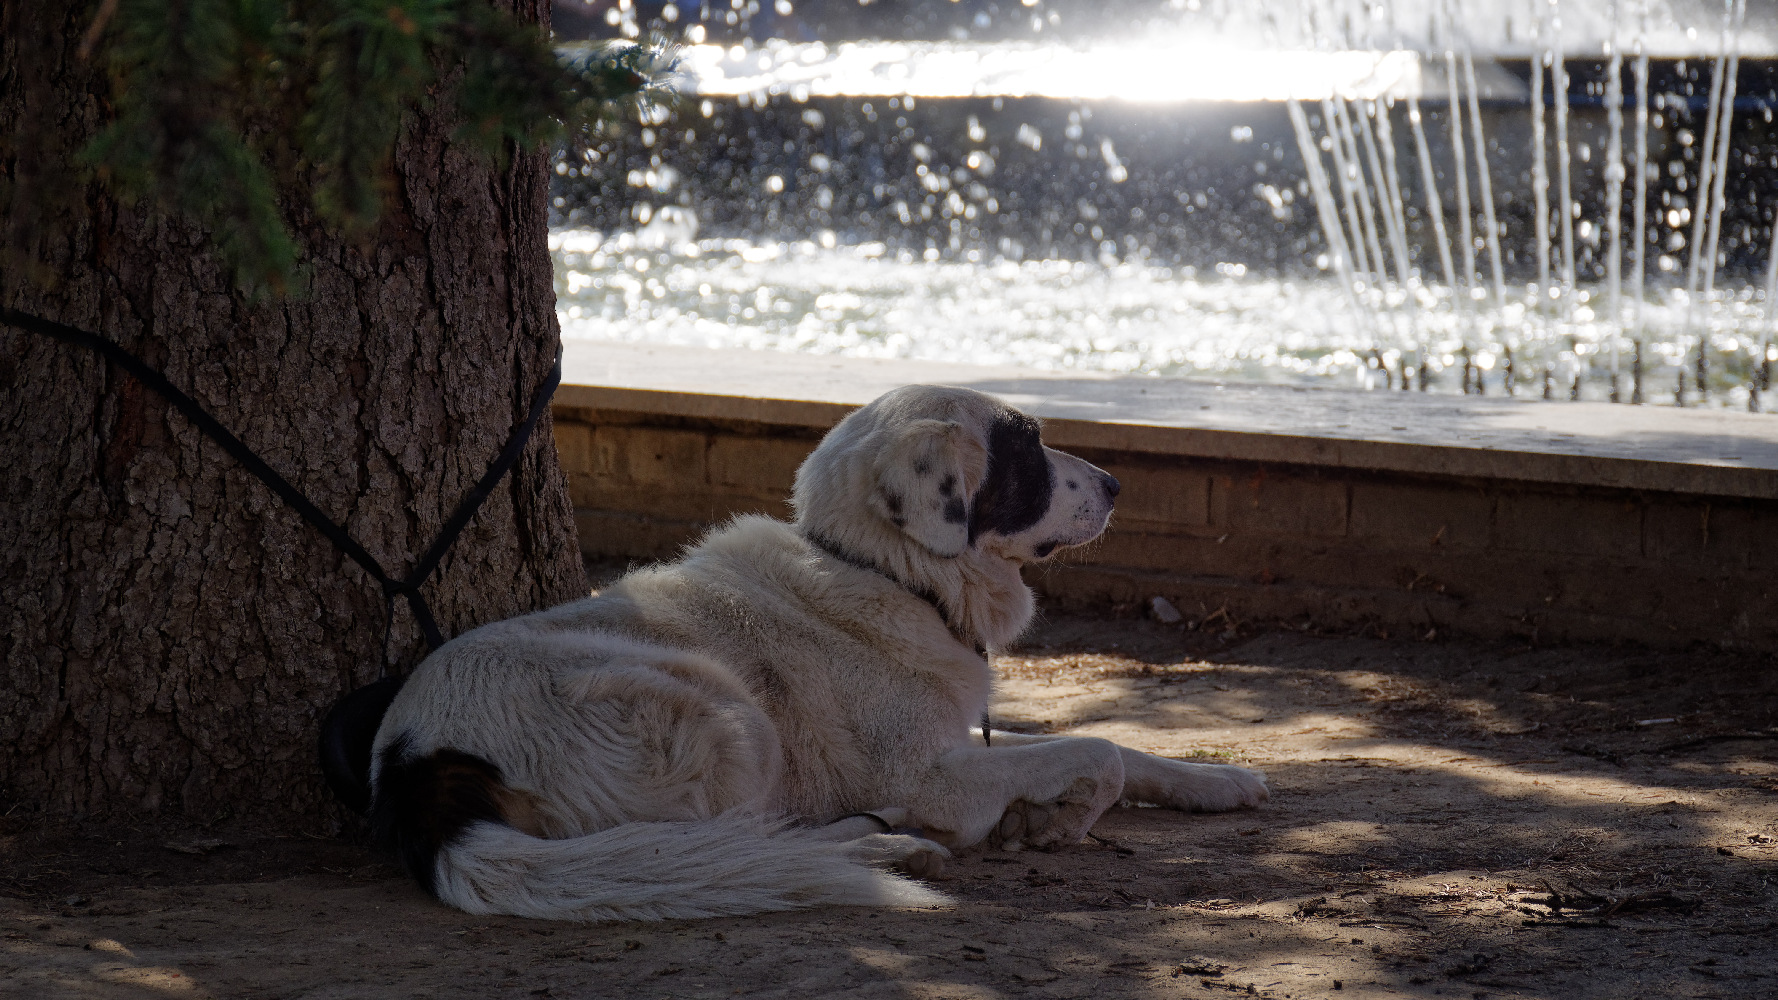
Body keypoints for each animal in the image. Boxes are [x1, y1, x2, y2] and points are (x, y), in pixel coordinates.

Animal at [360, 382, 1265, 918]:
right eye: (1027, 445)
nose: (1116, 485)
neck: (889, 571)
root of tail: (414, 763)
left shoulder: (959, 736)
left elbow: (1120, 747)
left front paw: (1216, 781)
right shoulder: (932, 773)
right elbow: (1101, 750)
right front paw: (1055, 820)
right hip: (723, 713)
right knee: (731, 845)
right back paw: (883, 846)